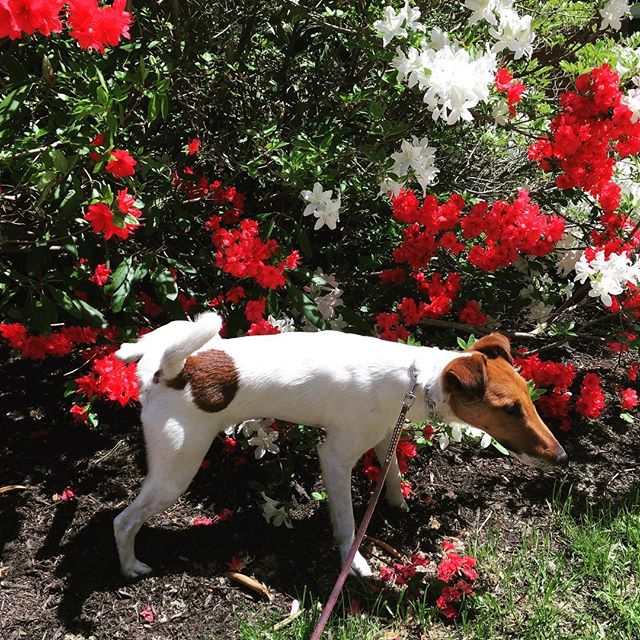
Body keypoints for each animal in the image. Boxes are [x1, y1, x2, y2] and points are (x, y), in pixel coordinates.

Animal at [114, 316, 564, 580]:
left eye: (529, 396)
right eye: (510, 409)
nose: (561, 457)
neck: (415, 379)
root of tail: (167, 373)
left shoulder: (384, 433)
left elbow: (392, 472)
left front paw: (397, 504)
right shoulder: (334, 457)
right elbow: (347, 522)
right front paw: (355, 561)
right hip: (177, 469)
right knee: (123, 521)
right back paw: (130, 566)